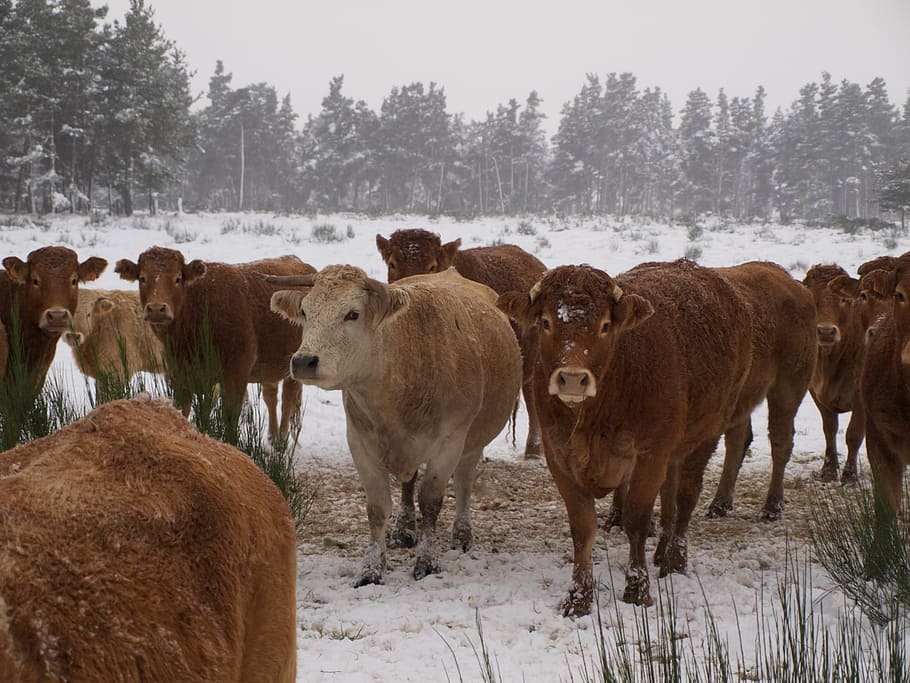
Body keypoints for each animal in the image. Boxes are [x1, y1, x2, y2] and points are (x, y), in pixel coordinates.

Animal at [115, 247, 313, 443]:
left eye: (178, 278)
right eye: (142, 278)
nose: (156, 309)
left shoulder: (237, 373)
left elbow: (230, 418)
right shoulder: (180, 375)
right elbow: (183, 411)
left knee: (288, 397)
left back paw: (282, 439)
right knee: (271, 395)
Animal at [269, 265, 522, 585]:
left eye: (352, 314)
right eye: (305, 310)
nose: (303, 361)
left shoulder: (450, 442)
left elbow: (431, 502)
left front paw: (427, 561)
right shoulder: (359, 441)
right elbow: (377, 508)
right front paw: (371, 569)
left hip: (473, 441)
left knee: (464, 481)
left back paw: (462, 534)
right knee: (408, 482)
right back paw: (404, 528)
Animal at [497, 260, 753, 615]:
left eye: (605, 326)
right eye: (546, 322)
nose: (572, 379)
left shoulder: (649, 454)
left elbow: (636, 521)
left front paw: (637, 589)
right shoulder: (558, 455)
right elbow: (582, 527)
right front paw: (579, 597)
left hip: (708, 432)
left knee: (686, 496)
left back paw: (675, 559)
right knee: (670, 497)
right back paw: (661, 553)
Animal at [705, 261, 816, 517]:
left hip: (787, 389)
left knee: (780, 440)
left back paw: (772, 506)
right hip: (742, 397)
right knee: (738, 440)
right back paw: (720, 503)